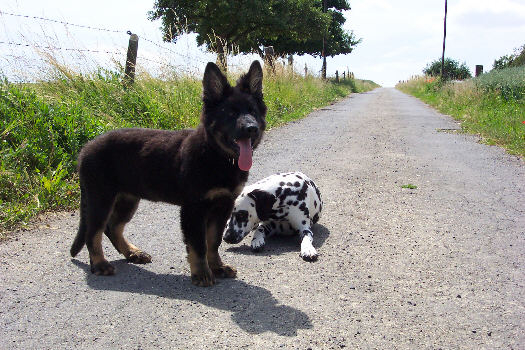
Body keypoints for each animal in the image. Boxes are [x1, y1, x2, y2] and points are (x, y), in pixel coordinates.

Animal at [69, 60, 266, 288]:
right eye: (231, 113)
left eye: (253, 111)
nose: (252, 128)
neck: (217, 156)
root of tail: (85, 149)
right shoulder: (193, 209)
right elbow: (198, 245)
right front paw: (202, 273)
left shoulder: (222, 205)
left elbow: (213, 241)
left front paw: (217, 267)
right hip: (101, 198)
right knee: (94, 232)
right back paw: (100, 264)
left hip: (127, 199)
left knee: (112, 228)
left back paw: (132, 253)